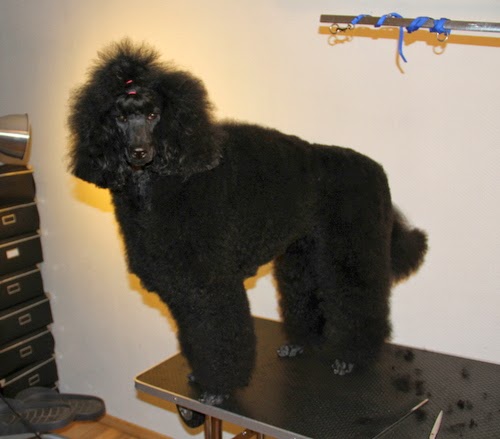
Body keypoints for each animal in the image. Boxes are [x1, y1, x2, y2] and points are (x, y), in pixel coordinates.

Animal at [68, 40, 427, 405]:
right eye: (121, 117)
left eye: (154, 115)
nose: (139, 152)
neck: (160, 184)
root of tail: (376, 170)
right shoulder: (183, 288)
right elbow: (194, 335)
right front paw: (199, 374)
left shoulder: (211, 284)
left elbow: (218, 336)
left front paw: (217, 388)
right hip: (305, 252)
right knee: (307, 294)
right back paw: (302, 343)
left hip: (352, 250)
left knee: (361, 299)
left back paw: (351, 357)